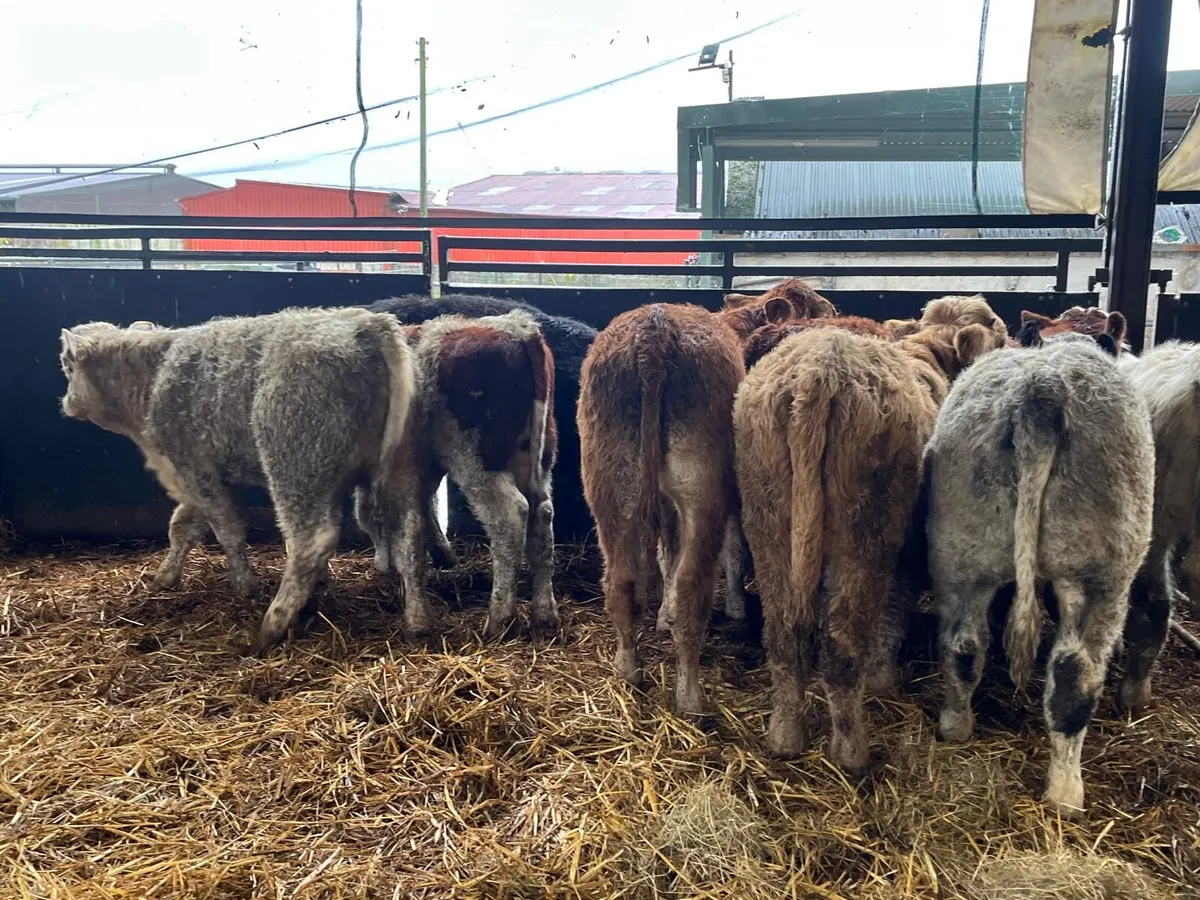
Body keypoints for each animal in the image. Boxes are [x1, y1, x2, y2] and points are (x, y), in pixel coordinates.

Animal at [58, 308, 417, 651]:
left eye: (67, 366)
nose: (67, 402)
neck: (153, 376)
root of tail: (365, 324)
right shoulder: (195, 479)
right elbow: (182, 527)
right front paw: (166, 577)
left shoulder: (195, 467)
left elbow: (226, 529)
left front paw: (245, 585)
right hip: (397, 468)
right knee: (409, 532)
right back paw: (417, 619)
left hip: (296, 466)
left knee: (311, 542)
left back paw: (271, 626)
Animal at [357, 311, 559, 639]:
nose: (381, 565)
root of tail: (518, 327)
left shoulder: (405, 468)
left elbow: (410, 532)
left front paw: (417, 616)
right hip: (538, 458)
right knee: (542, 517)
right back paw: (545, 614)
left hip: (476, 460)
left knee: (510, 518)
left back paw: (500, 618)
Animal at [578, 303, 745, 715]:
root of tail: (655, 332)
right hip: (704, 490)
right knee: (691, 588)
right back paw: (690, 697)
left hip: (611, 483)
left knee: (622, 581)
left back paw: (628, 670)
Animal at [733, 309, 1004, 771]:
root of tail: (819, 373)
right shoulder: (911, 548)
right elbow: (897, 606)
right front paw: (883, 677)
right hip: (866, 530)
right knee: (842, 647)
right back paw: (851, 751)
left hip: (769, 517)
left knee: (784, 636)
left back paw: (785, 736)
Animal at [925, 328, 1153, 813]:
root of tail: (1040, 391)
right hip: (1096, 570)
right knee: (1073, 677)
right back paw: (1065, 793)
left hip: (962, 550)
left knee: (963, 647)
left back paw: (955, 726)